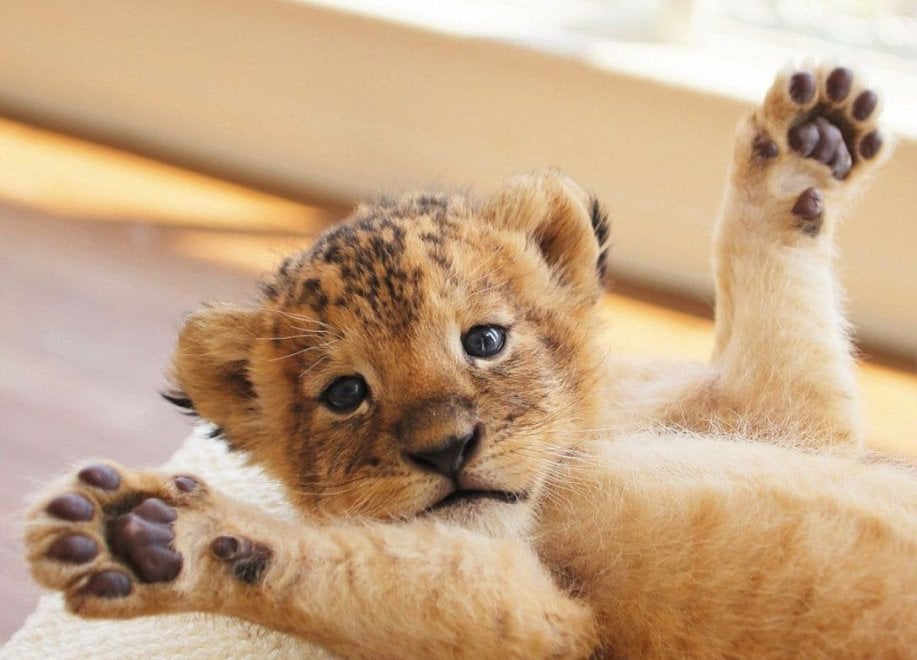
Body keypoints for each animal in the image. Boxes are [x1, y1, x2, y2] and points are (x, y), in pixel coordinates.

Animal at [23, 66, 916, 657]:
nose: (447, 449)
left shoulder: (792, 419)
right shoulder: (559, 627)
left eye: (483, 341)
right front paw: (146, 536)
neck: (575, 454)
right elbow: (363, 575)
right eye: (344, 393)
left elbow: (773, 297)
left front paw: (810, 141)